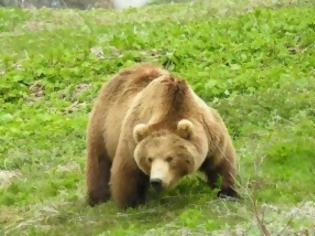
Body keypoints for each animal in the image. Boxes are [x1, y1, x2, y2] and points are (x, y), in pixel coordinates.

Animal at [86, 64, 239, 208]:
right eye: (149, 158)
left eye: (170, 158)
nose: (156, 181)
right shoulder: (132, 139)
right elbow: (127, 171)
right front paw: (131, 203)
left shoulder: (210, 133)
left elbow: (221, 163)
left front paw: (227, 191)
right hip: (103, 124)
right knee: (98, 160)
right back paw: (97, 198)